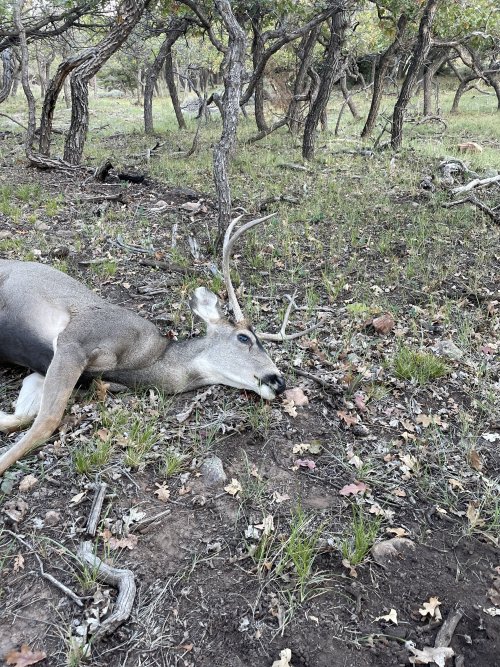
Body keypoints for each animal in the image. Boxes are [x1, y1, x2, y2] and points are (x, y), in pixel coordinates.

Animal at [0, 213, 319, 476]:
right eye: (244, 338)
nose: (278, 381)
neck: (144, 359)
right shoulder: (76, 339)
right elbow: (46, 420)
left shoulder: (48, 369)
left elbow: (22, 417)